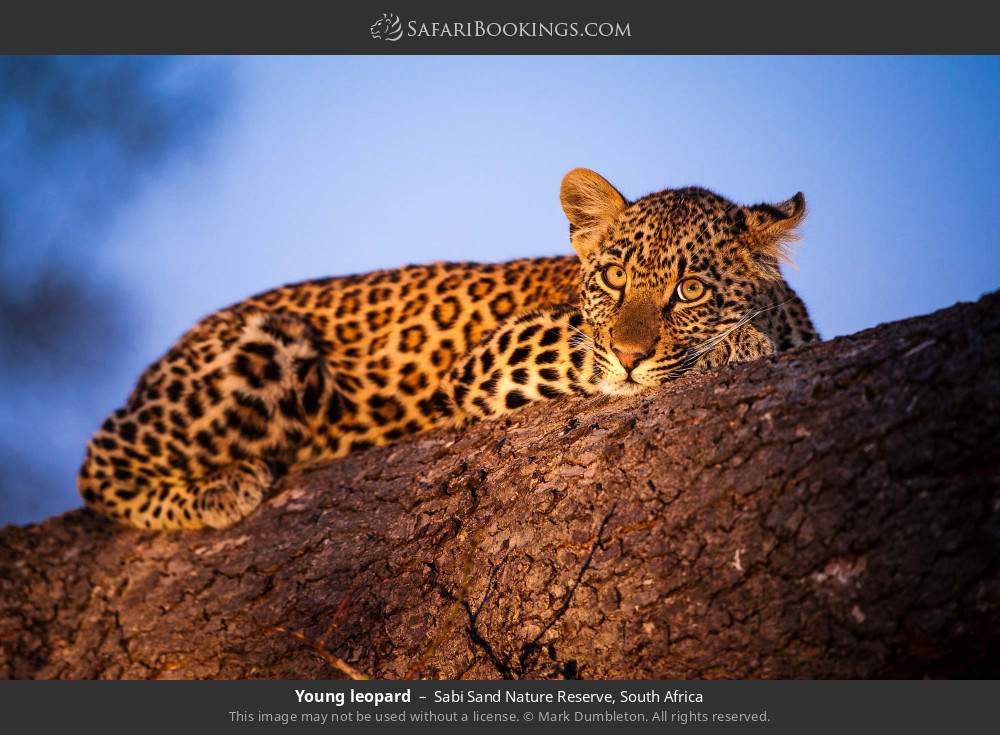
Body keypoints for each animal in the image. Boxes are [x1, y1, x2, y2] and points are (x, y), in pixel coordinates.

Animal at [78, 168, 818, 531]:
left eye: (689, 289)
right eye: (613, 277)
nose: (632, 352)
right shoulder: (504, 353)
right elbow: (592, 352)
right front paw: (739, 342)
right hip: (271, 343)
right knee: (96, 464)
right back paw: (222, 490)